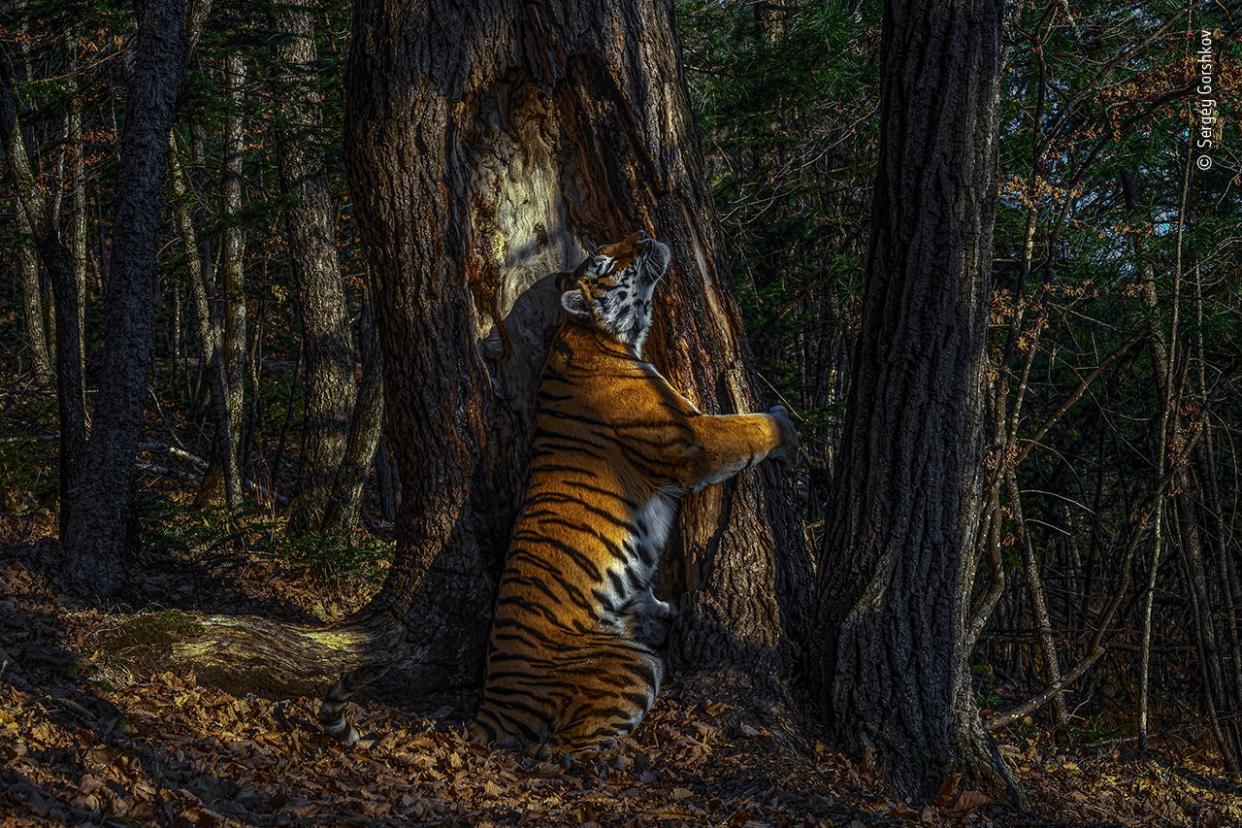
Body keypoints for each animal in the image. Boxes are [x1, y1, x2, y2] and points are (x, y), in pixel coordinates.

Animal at [466, 229, 804, 754]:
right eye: (606, 262)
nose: (644, 234)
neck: (596, 336)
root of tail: (492, 703)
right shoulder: (691, 438)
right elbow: (748, 427)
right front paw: (787, 430)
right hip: (630, 666)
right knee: (564, 750)